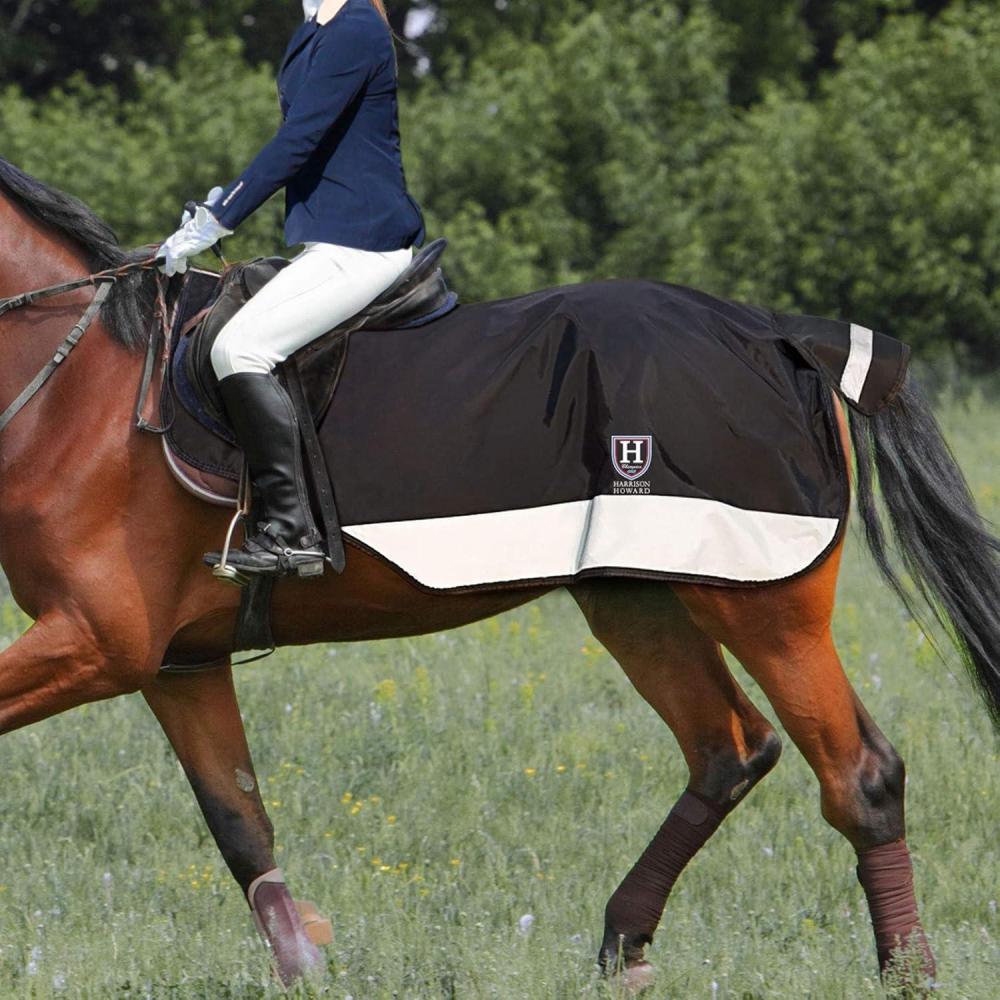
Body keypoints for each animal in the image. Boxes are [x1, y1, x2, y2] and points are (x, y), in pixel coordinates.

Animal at [1, 157, 998, 991]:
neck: (79, 391)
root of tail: (780, 336)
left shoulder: (100, 643)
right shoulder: (178, 662)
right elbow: (241, 824)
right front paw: (306, 964)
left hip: (763, 605)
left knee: (858, 775)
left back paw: (907, 971)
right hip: (637, 602)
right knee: (729, 749)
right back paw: (622, 948)